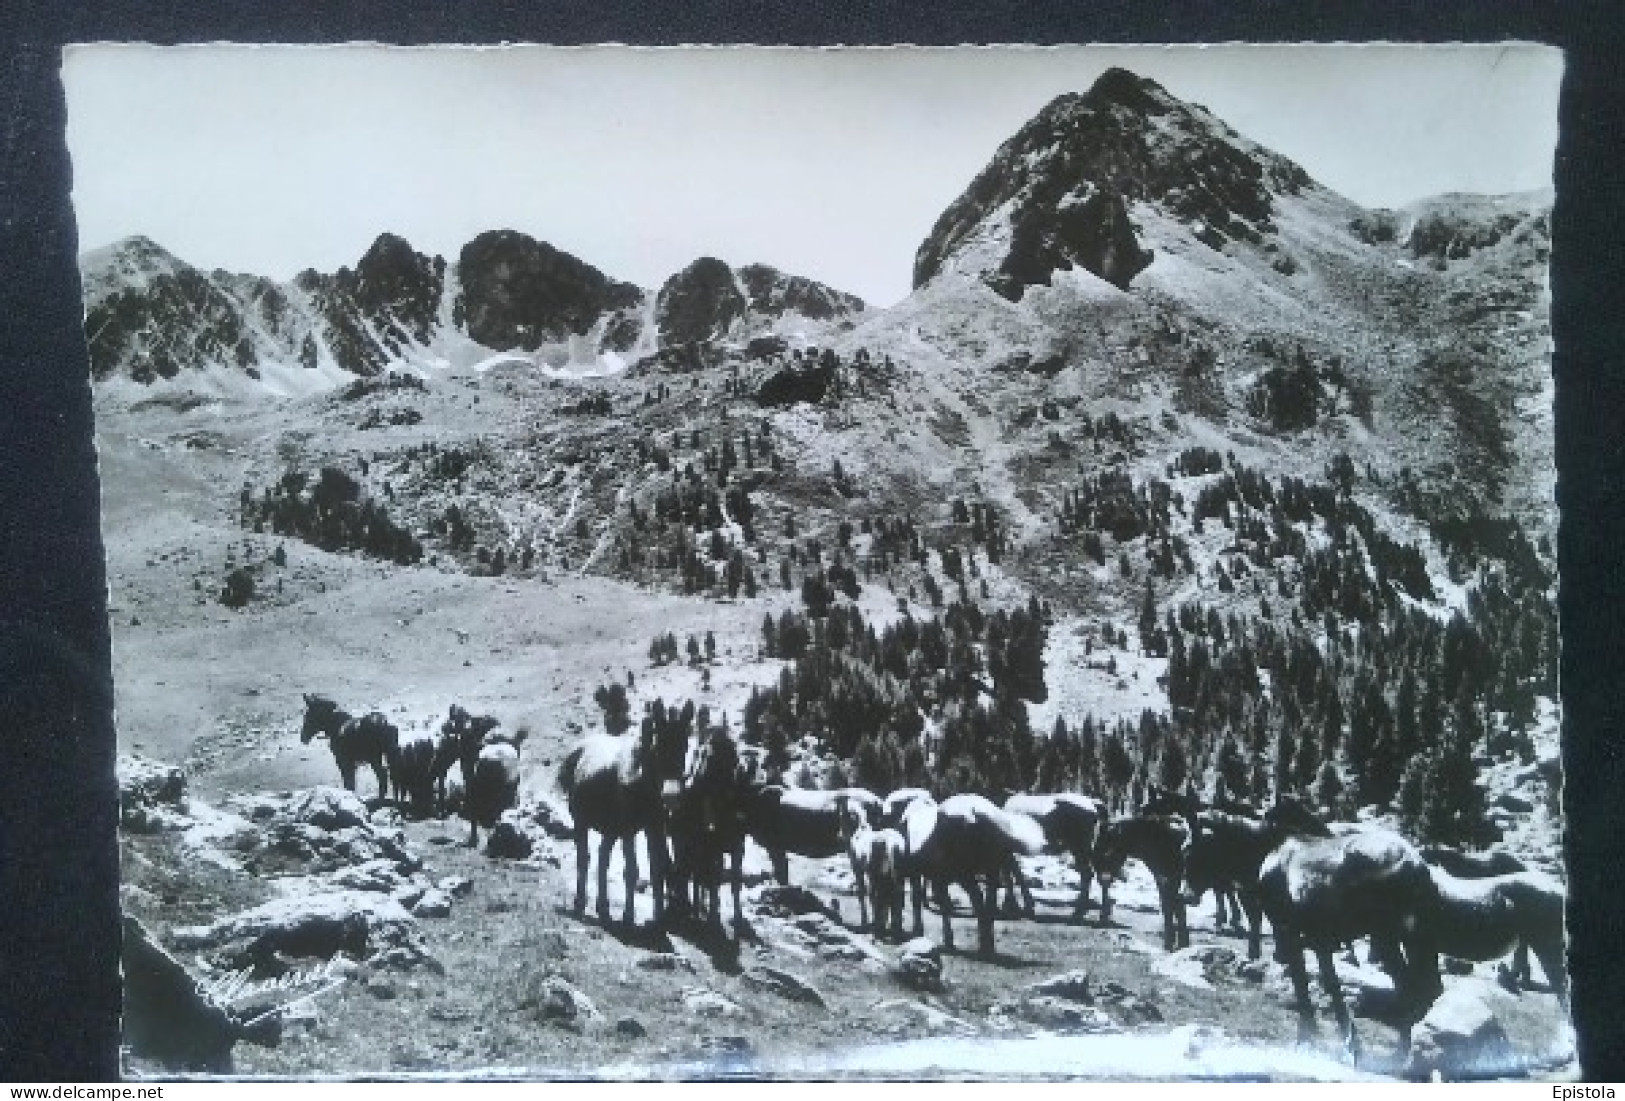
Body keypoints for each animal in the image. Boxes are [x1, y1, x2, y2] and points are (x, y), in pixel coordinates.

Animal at [559, 701, 692, 928]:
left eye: (684, 747)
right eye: (658, 749)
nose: (672, 796)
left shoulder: (654, 826)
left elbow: (658, 869)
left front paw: (658, 919)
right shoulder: (628, 829)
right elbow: (631, 871)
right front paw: (628, 917)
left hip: (611, 829)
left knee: (602, 858)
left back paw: (603, 909)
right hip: (582, 821)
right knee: (584, 858)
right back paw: (580, 905)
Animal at [897, 792, 1046, 954]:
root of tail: (974, 814)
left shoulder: (929, 874)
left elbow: (923, 901)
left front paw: (930, 935)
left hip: (966, 872)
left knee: (979, 898)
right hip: (990, 866)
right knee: (989, 901)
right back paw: (988, 945)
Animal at [994, 792, 1111, 922]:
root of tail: (1092, 803)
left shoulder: (1008, 851)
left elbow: (1012, 875)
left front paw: (1014, 907)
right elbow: (1013, 874)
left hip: (1079, 847)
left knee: (1087, 874)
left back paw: (1079, 913)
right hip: (1090, 848)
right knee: (1101, 876)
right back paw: (1101, 914)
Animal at [1092, 815, 1196, 954]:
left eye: (1106, 852)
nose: (1101, 879)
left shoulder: (1167, 879)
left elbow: (1170, 906)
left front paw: (1170, 945)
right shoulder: (1165, 880)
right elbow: (1175, 906)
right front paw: (1181, 944)